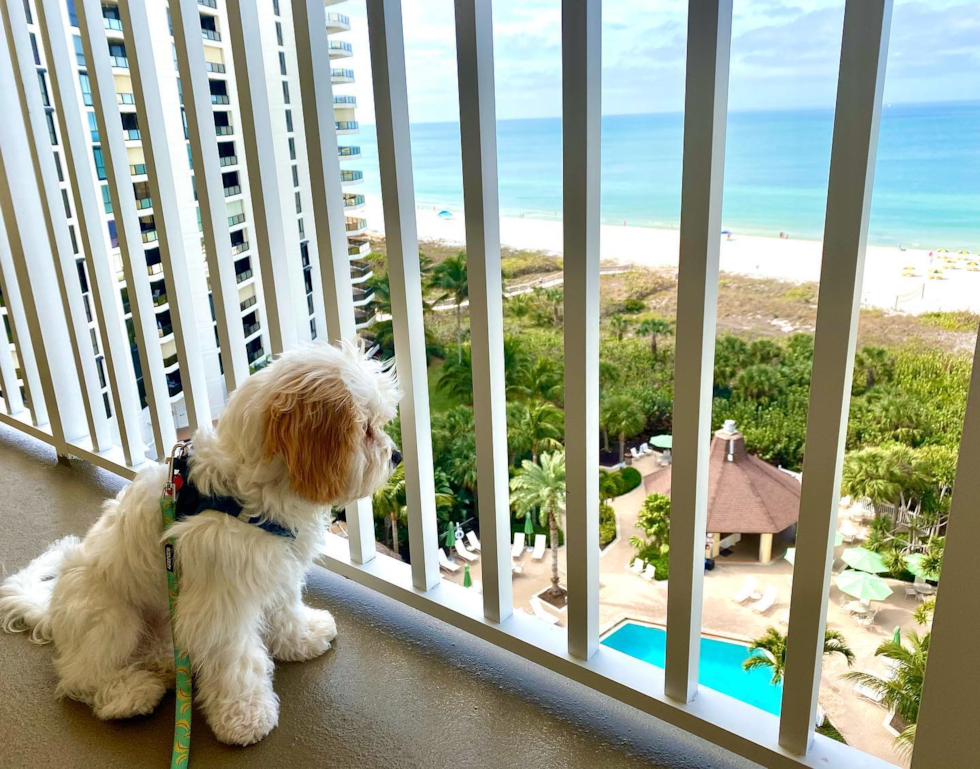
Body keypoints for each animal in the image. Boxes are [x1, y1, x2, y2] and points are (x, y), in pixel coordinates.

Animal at [0, 342, 398, 744]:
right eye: (365, 428)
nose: (395, 456)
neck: (243, 492)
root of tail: (52, 614)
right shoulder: (222, 601)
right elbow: (237, 660)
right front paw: (244, 717)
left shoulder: (276, 569)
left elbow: (286, 611)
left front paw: (304, 637)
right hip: (111, 618)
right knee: (80, 676)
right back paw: (130, 693)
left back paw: (164, 665)